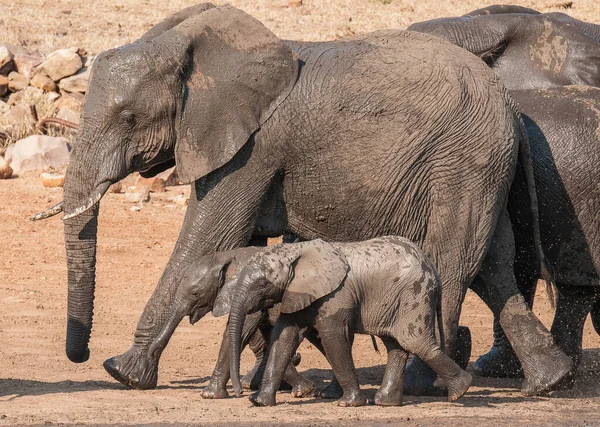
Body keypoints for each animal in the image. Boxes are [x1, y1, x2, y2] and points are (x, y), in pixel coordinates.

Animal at [227, 237, 472, 408]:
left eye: (262, 284)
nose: (238, 392)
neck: (294, 252)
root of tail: (433, 268)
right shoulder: (298, 293)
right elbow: (285, 337)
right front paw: (259, 402)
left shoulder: (336, 296)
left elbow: (333, 338)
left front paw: (349, 403)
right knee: (395, 344)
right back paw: (385, 402)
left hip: (415, 294)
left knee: (415, 340)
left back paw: (461, 390)